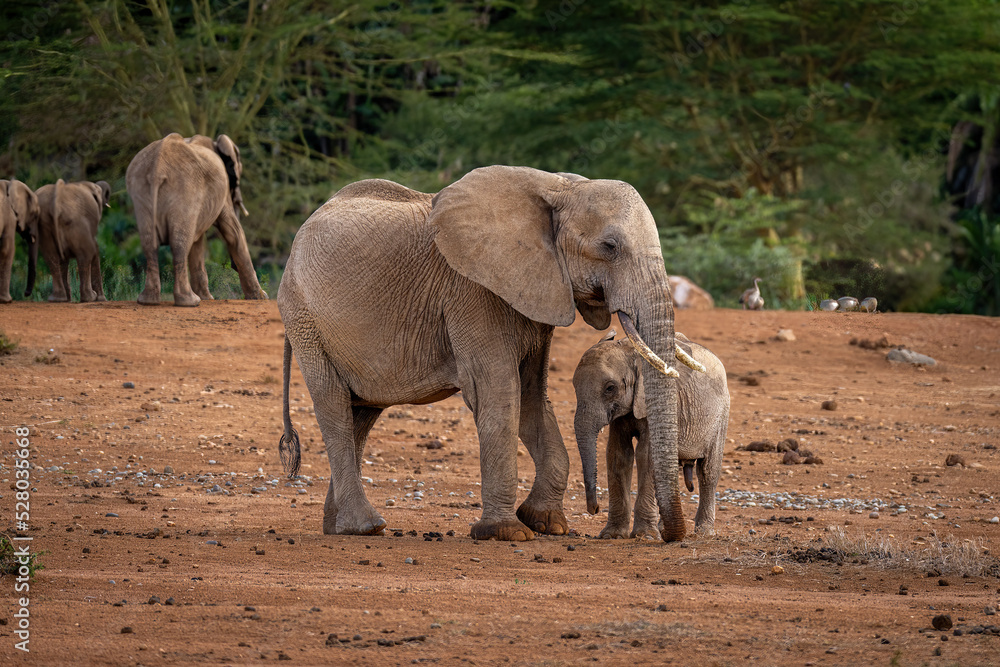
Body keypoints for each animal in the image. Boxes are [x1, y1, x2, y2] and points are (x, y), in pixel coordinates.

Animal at [126, 133, 267, 306]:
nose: (232, 266)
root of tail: (157, 168)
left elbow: (197, 242)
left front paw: (207, 298)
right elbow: (233, 231)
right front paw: (261, 297)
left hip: (141, 190)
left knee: (149, 242)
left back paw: (148, 301)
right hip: (185, 188)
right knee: (179, 243)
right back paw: (190, 302)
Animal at [278, 166, 703, 542]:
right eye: (610, 247)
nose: (671, 537)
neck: (559, 188)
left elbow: (532, 398)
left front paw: (546, 523)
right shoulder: (472, 293)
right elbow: (500, 392)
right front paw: (506, 532)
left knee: (362, 413)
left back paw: (339, 528)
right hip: (305, 320)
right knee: (334, 407)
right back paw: (365, 526)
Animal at [573, 330, 729, 538]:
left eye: (610, 388)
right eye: (574, 386)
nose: (595, 509)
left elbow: (645, 454)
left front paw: (644, 535)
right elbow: (618, 454)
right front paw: (611, 535)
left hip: (721, 415)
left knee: (707, 471)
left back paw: (704, 532)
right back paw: (664, 529)